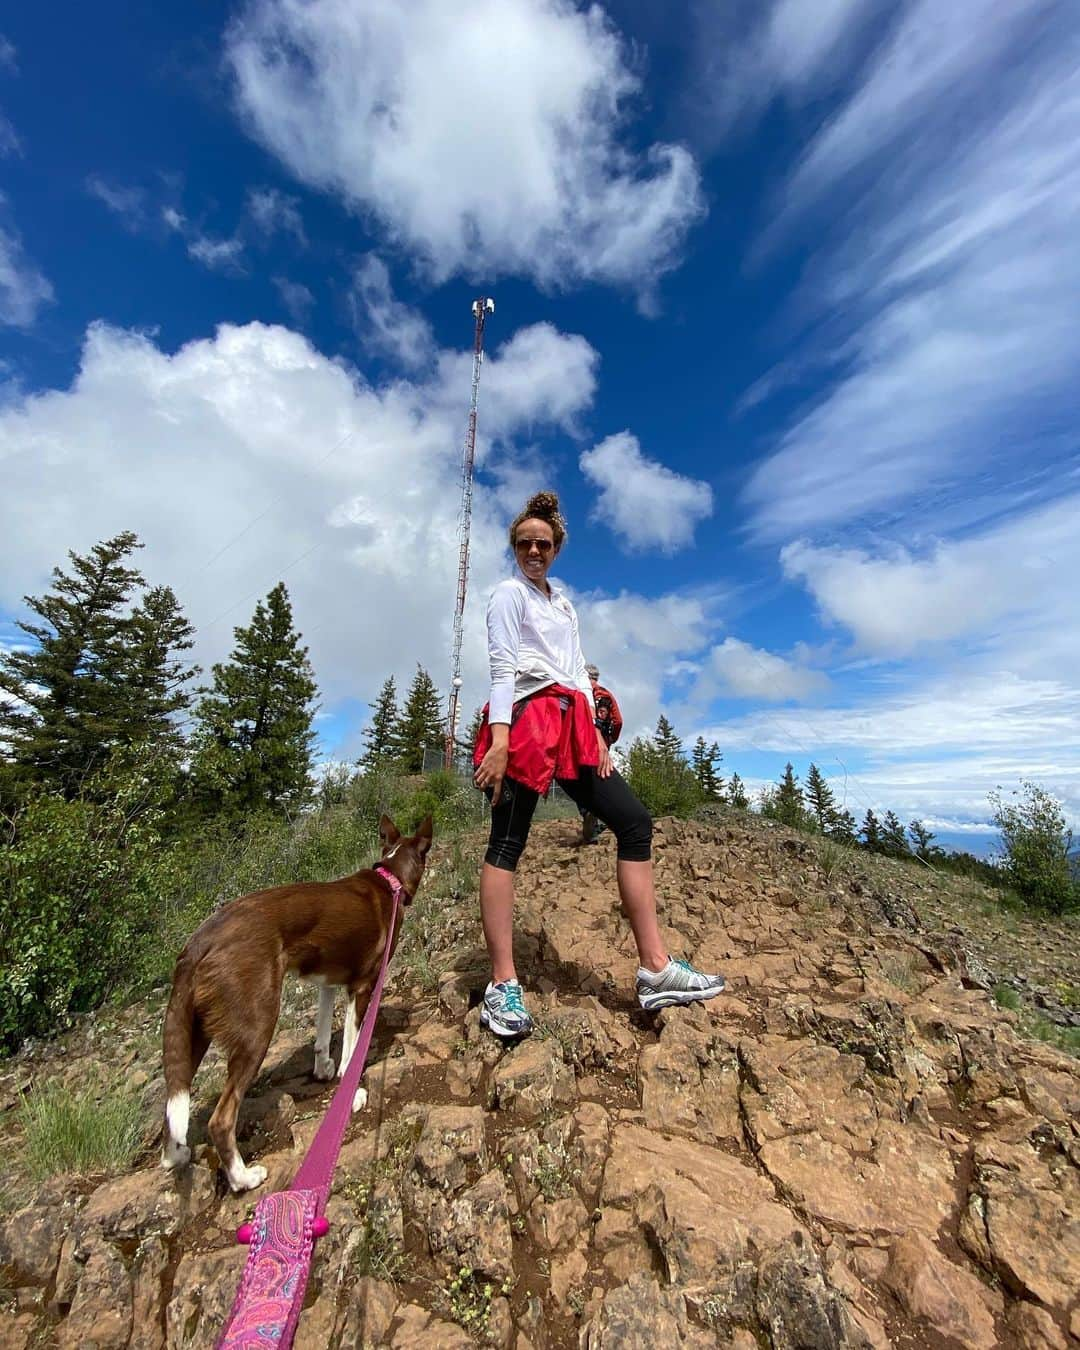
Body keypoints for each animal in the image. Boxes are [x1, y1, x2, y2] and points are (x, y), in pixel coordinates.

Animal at [160, 810, 429, 1193]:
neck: (389, 878)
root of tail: (198, 942)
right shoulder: (363, 986)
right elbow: (352, 1048)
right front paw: (352, 1091)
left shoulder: (328, 982)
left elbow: (322, 1036)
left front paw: (323, 1069)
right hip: (257, 1024)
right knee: (221, 1119)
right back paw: (243, 1178)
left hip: (191, 1030)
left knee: (172, 1099)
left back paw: (176, 1155)